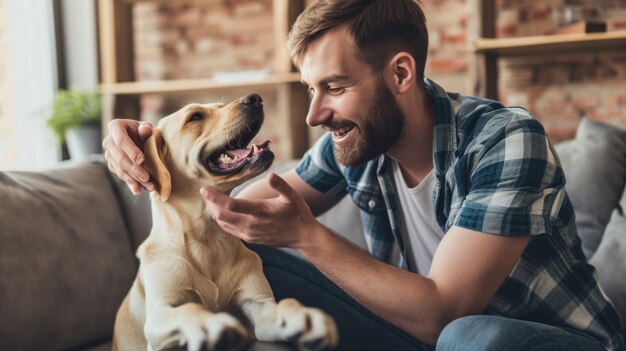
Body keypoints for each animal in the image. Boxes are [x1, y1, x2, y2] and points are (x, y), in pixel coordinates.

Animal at [112, 94, 336, 351]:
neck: (208, 238)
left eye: (220, 106)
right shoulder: (159, 314)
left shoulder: (258, 305)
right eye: (195, 116)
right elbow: (189, 308)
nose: (255, 98)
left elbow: (285, 304)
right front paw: (209, 324)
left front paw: (303, 317)